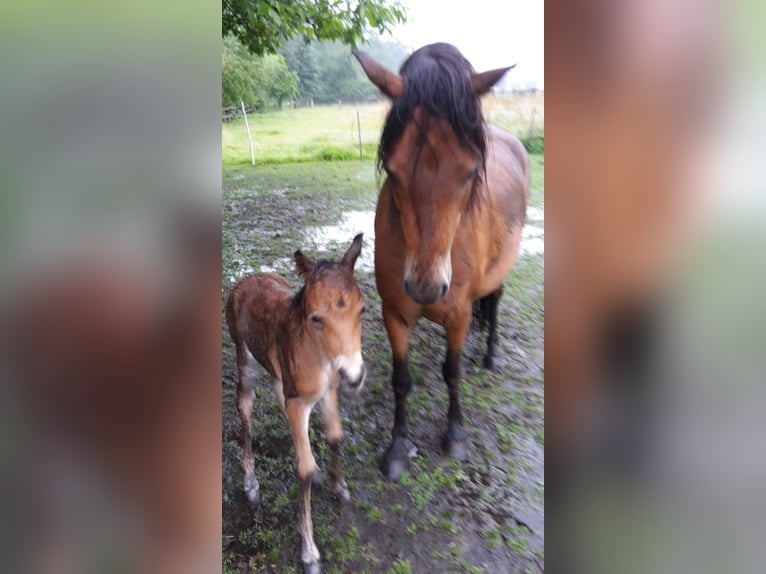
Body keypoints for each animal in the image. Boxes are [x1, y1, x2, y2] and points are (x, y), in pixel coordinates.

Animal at [225, 234, 366, 574]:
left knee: (279, 392)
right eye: (315, 317)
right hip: (243, 355)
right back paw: (250, 481)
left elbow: (335, 435)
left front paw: (338, 485)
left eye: (363, 310)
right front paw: (309, 552)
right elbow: (304, 468)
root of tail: (247, 279)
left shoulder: (328, 391)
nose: (355, 377)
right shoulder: (301, 402)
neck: (318, 356)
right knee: (244, 406)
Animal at [356, 42, 532, 480]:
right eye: (393, 171)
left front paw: (454, 436)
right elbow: (401, 379)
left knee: (495, 300)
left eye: (470, 172)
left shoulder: (457, 313)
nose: (425, 287)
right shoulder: (394, 312)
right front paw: (397, 447)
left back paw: (490, 354)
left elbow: (452, 372)